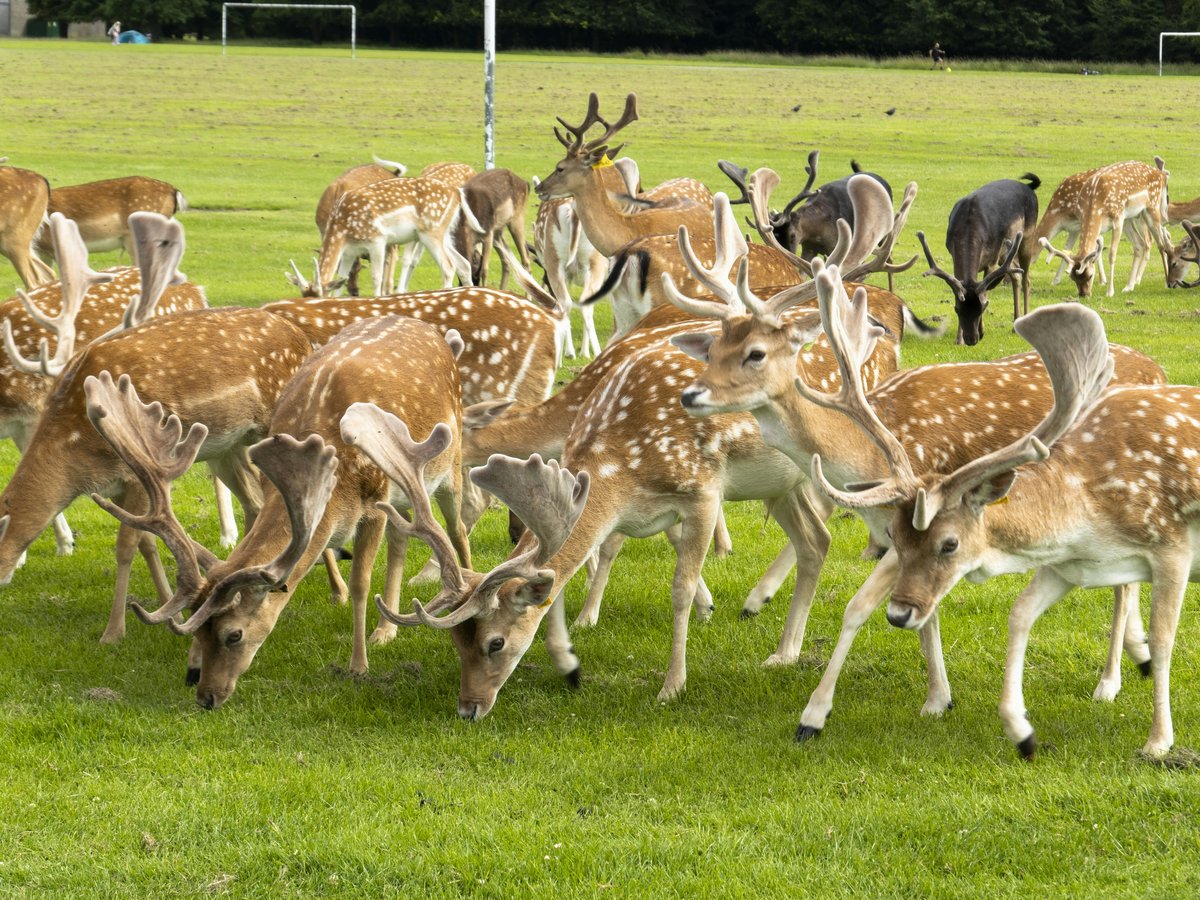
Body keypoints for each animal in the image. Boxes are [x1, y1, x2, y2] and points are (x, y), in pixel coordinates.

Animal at [96, 316, 474, 710]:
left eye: (234, 634)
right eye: (197, 630)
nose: (205, 695)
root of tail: (432, 331)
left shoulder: (375, 502)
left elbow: (360, 584)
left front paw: (358, 666)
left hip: (449, 460)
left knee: (457, 528)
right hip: (405, 494)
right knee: (401, 540)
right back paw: (386, 630)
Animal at [807, 275, 1200, 760]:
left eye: (949, 543)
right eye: (895, 537)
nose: (898, 614)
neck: (1090, 518)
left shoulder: (1171, 546)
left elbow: (1165, 641)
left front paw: (1158, 741)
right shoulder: (1071, 566)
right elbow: (1020, 613)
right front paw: (1021, 730)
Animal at [915, 175, 1038, 345]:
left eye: (983, 308)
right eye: (957, 309)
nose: (971, 339)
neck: (970, 224)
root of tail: (1030, 188)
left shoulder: (992, 259)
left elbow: (986, 291)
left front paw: (982, 332)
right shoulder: (953, 255)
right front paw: (959, 339)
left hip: (1027, 236)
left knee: (1026, 278)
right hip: (1005, 253)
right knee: (1016, 274)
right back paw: (1015, 323)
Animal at [1029, 160, 1170, 299]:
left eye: (1090, 276)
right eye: (1073, 279)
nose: (1084, 295)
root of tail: (1162, 175)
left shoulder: (1115, 220)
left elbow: (1111, 254)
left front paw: (1109, 290)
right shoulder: (1082, 225)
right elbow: (1071, 249)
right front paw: (1056, 280)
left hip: (1150, 209)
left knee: (1159, 243)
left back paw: (1164, 282)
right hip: (1130, 218)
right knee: (1141, 244)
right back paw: (1129, 286)